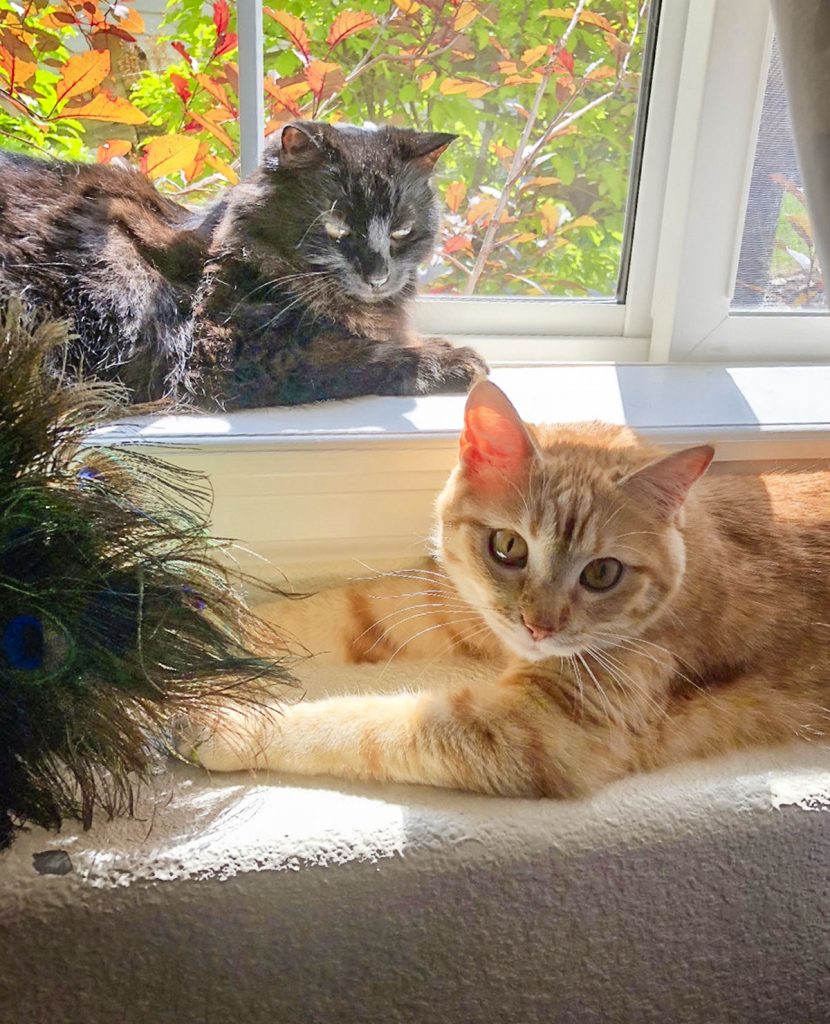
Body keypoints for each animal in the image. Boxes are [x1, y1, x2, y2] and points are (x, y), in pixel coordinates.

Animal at [0, 121, 487, 405]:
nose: (379, 275)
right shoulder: (222, 350)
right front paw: (454, 360)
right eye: (337, 229)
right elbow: (365, 354)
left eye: (403, 231)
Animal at [182, 380, 830, 794]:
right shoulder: (447, 605)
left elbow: (364, 726)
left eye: (603, 573)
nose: (539, 626)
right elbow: (334, 608)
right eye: (509, 546)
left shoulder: (535, 730)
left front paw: (227, 725)